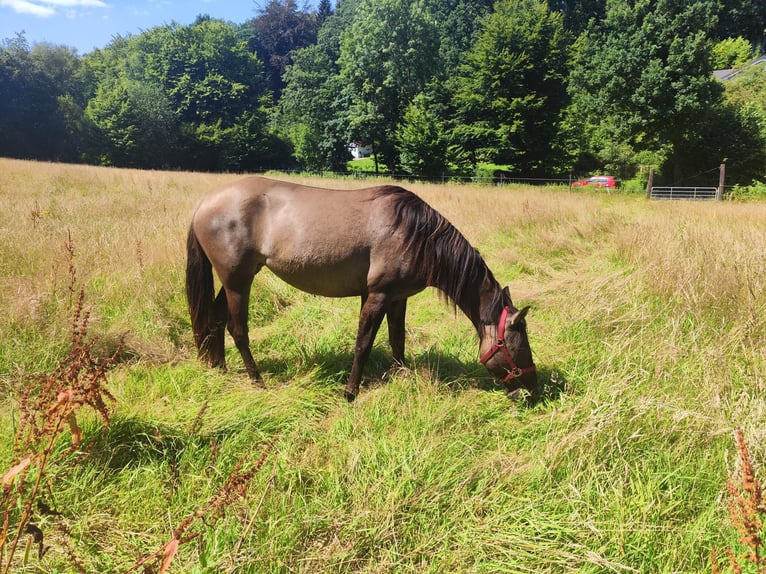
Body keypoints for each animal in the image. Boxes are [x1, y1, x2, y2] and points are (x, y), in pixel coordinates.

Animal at [186, 178, 536, 402]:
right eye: (519, 344)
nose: (531, 389)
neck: (416, 234)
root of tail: (204, 203)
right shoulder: (377, 296)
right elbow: (363, 343)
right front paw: (350, 392)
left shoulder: (397, 298)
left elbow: (397, 339)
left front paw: (401, 374)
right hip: (237, 281)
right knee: (237, 329)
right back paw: (256, 380)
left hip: (235, 280)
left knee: (215, 319)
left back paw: (220, 368)